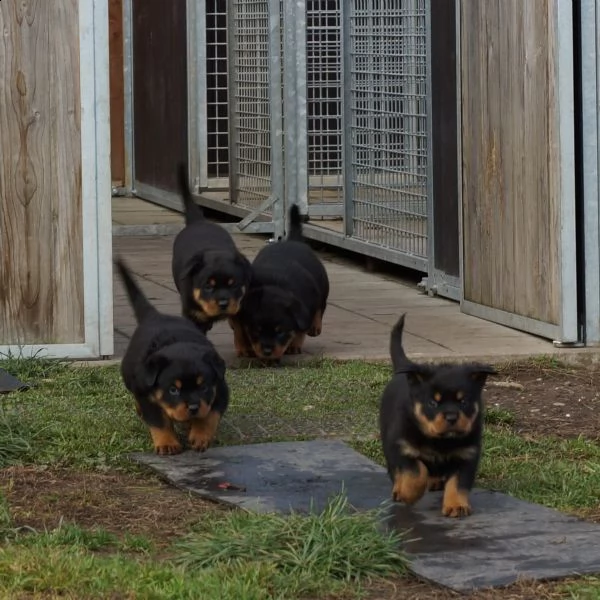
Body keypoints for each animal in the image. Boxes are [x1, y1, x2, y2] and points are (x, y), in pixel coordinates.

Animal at [116, 258, 229, 454]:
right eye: (173, 390)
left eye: (203, 387)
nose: (193, 408)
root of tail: (155, 315)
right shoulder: (146, 396)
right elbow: (159, 422)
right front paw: (167, 443)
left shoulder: (220, 390)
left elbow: (209, 416)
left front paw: (200, 436)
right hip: (130, 378)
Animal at [172, 162, 252, 336]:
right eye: (208, 286)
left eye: (233, 284)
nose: (223, 303)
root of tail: (199, 221)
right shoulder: (193, 316)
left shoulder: (241, 309)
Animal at [230, 204, 330, 358]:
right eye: (257, 330)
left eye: (280, 332)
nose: (267, 351)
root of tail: (293, 240)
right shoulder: (239, 309)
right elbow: (240, 329)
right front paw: (244, 348)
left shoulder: (305, 306)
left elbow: (300, 329)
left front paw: (294, 345)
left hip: (322, 285)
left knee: (321, 307)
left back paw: (315, 327)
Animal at [380, 314, 496, 516]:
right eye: (432, 403)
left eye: (463, 401)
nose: (451, 417)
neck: (441, 441)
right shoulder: (401, 446)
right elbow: (416, 472)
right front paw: (408, 493)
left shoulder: (467, 455)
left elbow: (458, 483)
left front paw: (456, 505)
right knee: (397, 472)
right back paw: (399, 489)